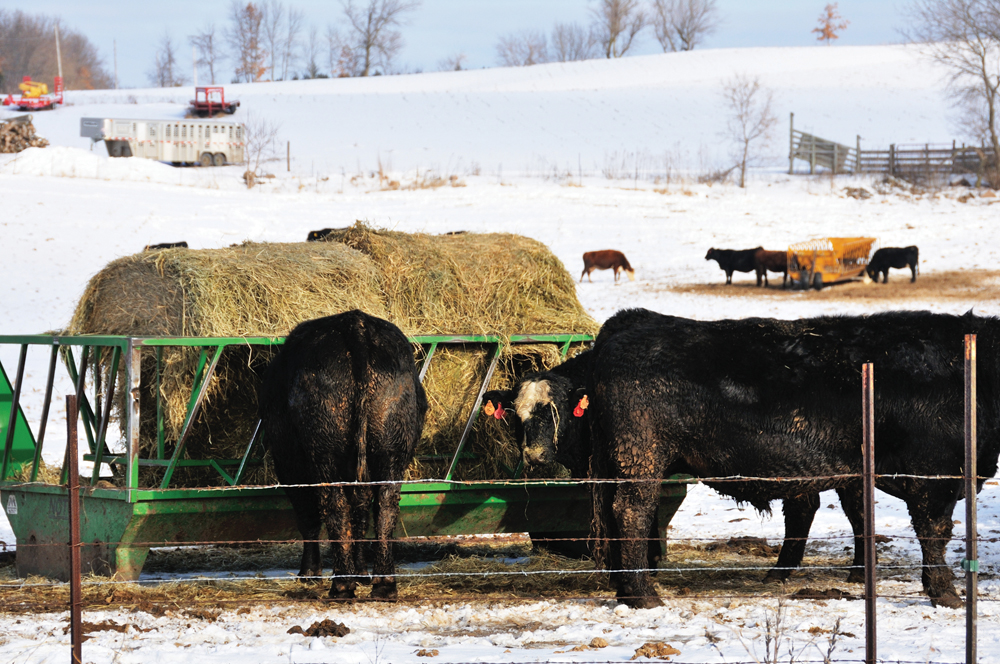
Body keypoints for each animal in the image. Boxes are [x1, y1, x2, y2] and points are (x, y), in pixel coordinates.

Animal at [258, 310, 428, 600]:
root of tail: (355, 323)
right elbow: (360, 513)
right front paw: (361, 571)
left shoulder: (289, 465)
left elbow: (309, 516)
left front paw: (309, 573)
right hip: (392, 450)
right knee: (384, 507)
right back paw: (383, 583)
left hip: (323, 454)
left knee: (334, 506)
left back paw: (342, 584)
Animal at [575, 308, 997, 609]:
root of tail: (635, 319)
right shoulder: (935, 472)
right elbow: (933, 531)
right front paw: (945, 593)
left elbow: (866, 517)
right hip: (641, 456)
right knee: (633, 512)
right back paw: (643, 595)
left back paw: (623, 587)